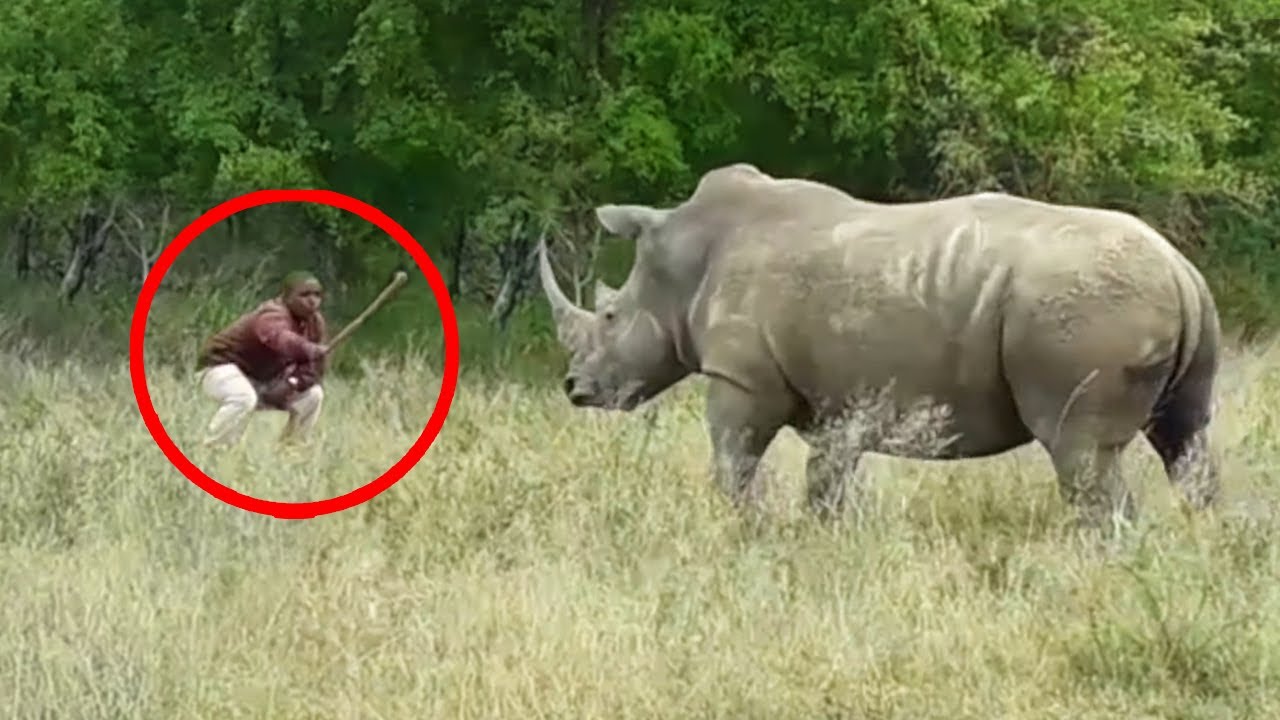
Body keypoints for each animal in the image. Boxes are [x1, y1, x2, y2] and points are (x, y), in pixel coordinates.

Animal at [538, 163, 1222, 530]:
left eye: (609, 315)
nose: (575, 389)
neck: (684, 253)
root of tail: (1180, 270)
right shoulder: (839, 402)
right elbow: (826, 481)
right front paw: (817, 536)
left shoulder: (742, 377)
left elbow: (734, 461)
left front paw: (738, 525)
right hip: (1172, 313)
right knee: (1184, 440)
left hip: (1086, 314)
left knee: (1080, 452)